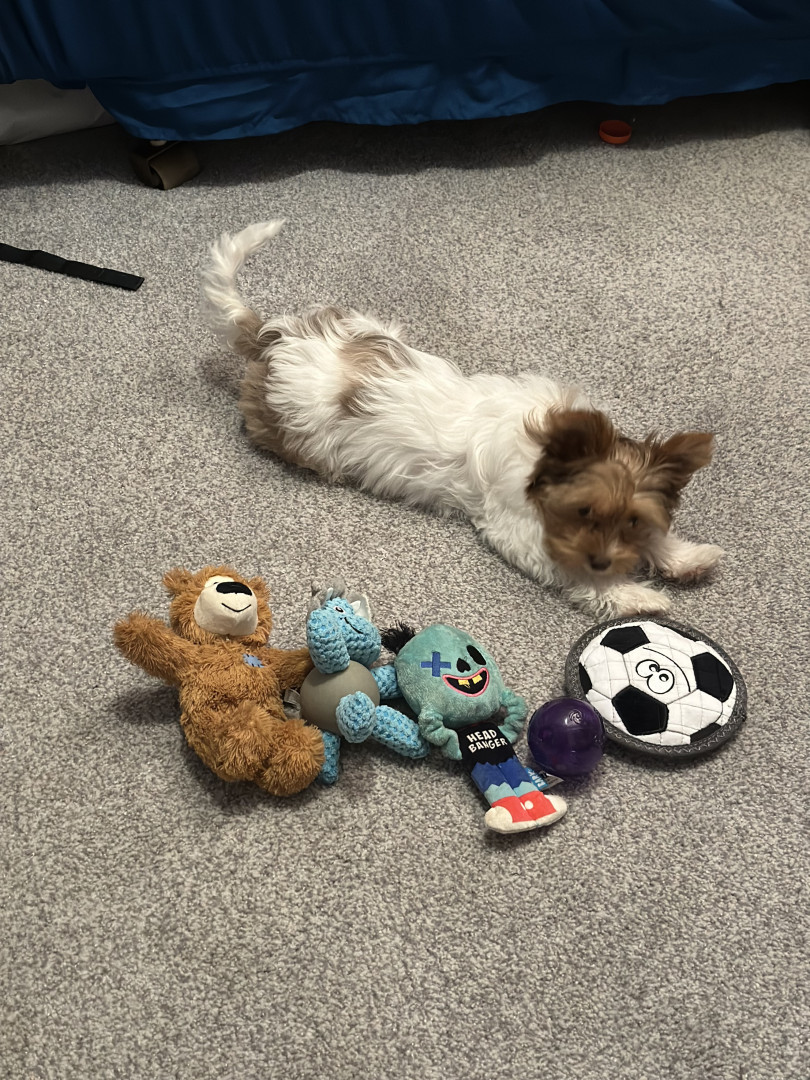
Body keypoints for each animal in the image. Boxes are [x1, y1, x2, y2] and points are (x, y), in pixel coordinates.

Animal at [202, 221, 723, 617]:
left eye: (631, 520)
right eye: (582, 513)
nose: (603, 562)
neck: (546, 453)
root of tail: (272, 338)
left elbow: (657, 534)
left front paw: (687, 557)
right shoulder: (520, 531)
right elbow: (571, 570)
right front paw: (634, 596)